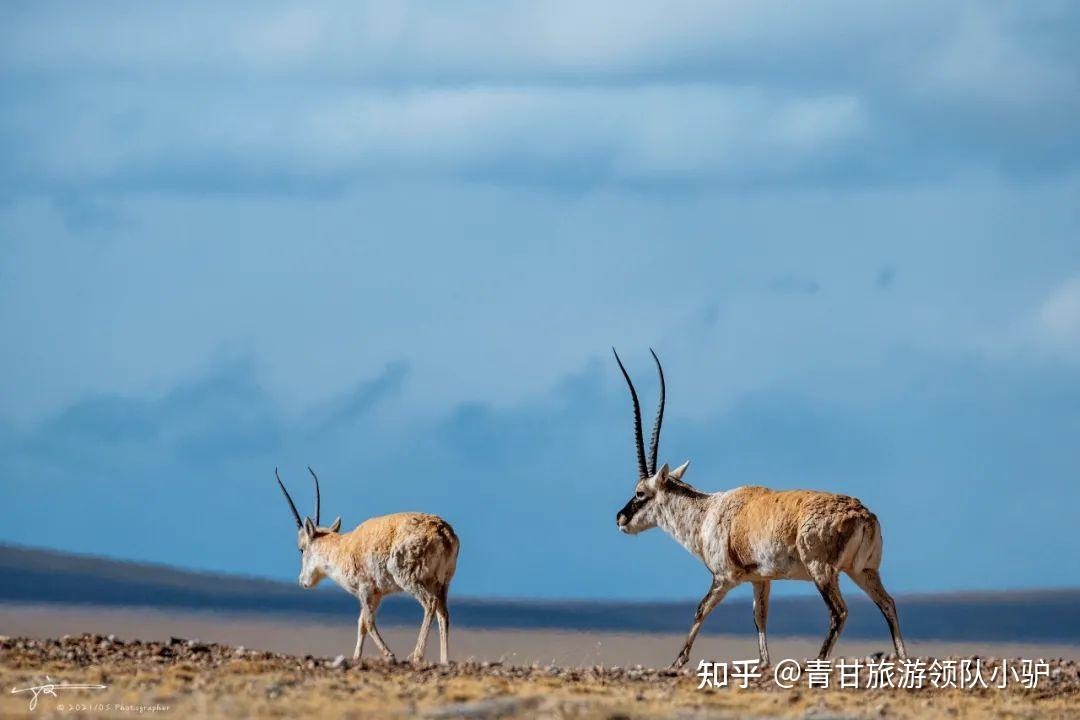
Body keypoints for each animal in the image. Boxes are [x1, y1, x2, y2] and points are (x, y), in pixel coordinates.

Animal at [272, 468, 457, 664]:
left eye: (301, 549)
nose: (302, 581)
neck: (343, 547)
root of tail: (443, 532)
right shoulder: (376, 594)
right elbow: (361, 623)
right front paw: (356, 657)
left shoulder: (365, 589)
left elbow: (368, 621)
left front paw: (389, 654)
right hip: (441, 583)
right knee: (443, 614)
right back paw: (444, 660)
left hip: (410, 579)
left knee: (430, 603)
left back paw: (417, 656)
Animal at [613, 349, 907, 669]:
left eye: (640, 493)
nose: (620, 518)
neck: (708, 511)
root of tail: (863, 515)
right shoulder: (760, 579)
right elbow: (760, 617)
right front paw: (764, 662)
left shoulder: (724, 577)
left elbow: (701, 609)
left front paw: (677, 662)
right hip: (863, 570)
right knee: (887, 603)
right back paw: (903, 658)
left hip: (823, 571)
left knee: (839, 612)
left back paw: (817, 662)